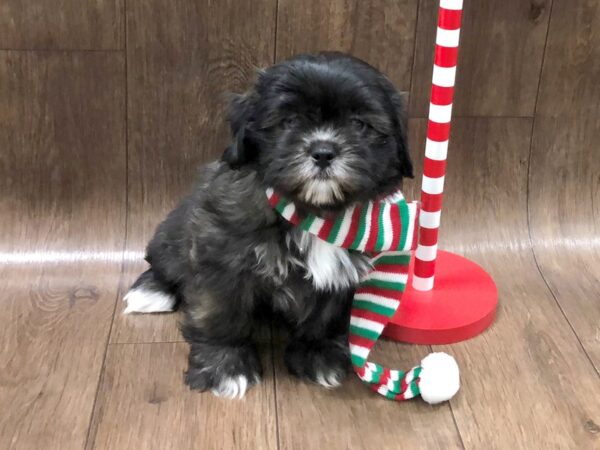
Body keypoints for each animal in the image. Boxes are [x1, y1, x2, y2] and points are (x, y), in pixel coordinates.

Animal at [122, 51, 412, 398]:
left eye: (358, 124)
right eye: (289, 122)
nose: (323, 151)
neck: (312, 211)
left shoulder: (341, 276)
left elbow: (324, 316)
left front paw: (318, 355)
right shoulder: (222, 260)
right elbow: (219, 315)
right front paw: (225, 366)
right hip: (171, 235)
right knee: (164, 263)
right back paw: (152, 290)